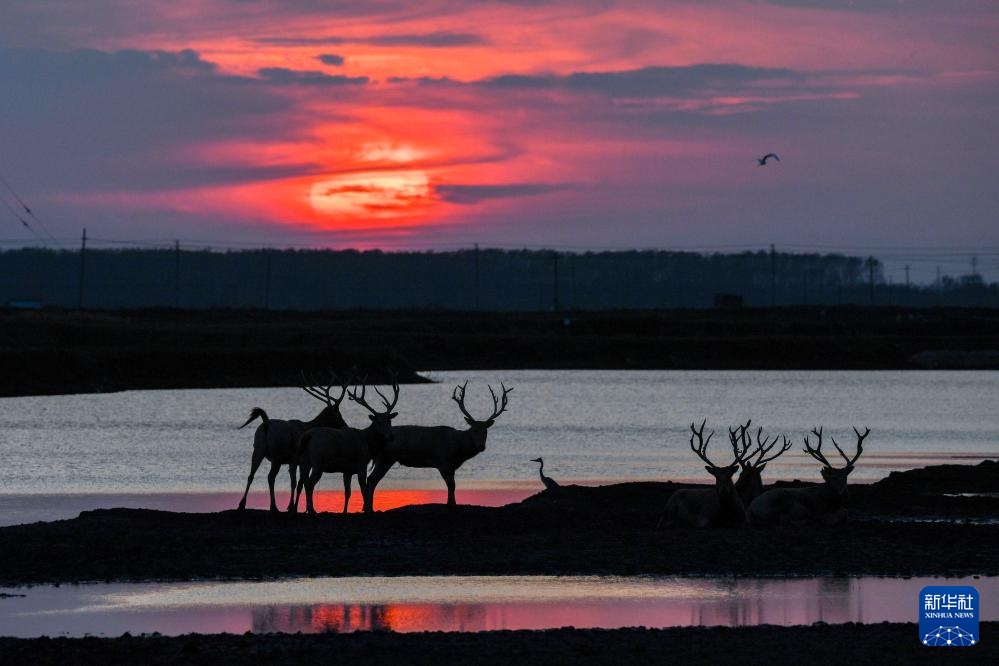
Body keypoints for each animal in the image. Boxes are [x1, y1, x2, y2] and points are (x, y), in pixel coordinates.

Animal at [238, 370, 352, 510]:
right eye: (338, 415)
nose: (346, 426)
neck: (309, 426)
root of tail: (266, 424)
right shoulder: (298, 460)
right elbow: (297, 483)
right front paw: (292, 506)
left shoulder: (295, 461)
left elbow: (297, 482)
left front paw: (293, 506)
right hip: (277, 455)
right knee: (270, 477)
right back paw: (273, 506)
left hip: (258, 449)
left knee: (251, 475)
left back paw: (242, 504)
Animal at [296, 378, 398, 512]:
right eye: (378, 422)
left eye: (389, 421)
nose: (391, 436)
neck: (368, 445)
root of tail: (308, 436)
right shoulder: (361, 464)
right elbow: (364, 490)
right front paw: (366, 509)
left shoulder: (347, 471)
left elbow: (347, 492)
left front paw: (345, 511)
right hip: (318, 460)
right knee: (309, 484)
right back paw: (312, 510)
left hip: (304, 460)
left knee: (301, 483)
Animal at [362, 378, 516, 508]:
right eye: (474, 430)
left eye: (486, 431)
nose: (481, 446)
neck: (459, 449)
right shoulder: (443, 462)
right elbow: (451, 485)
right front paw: (451, 504)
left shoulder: (452, 466)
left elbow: (453, 485)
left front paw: (452, 503)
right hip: (386, 458)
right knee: (372, 479)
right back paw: (369, 508)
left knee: (372, 480)